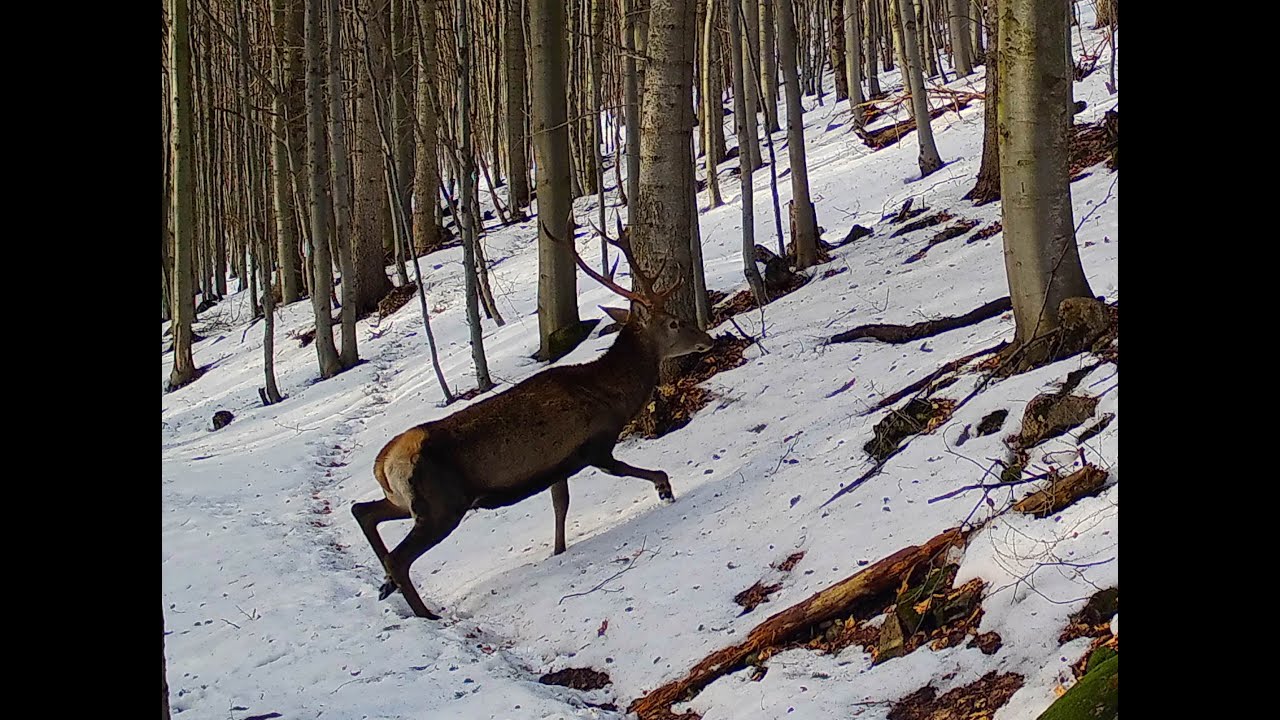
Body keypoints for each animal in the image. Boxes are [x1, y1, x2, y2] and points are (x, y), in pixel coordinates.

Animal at [351, 222, 715, 619]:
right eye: (674, 322)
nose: (707, 338)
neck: (609, 395)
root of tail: (383, 463)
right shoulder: (595, 444)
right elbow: (627, 472)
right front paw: (664, 489)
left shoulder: (557, 465)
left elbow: (560, 506)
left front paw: (558, 550)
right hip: (441, 505)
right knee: (398, 556)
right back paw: (425, 613)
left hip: (409, 502)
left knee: (363, 511)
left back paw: (387, 587)